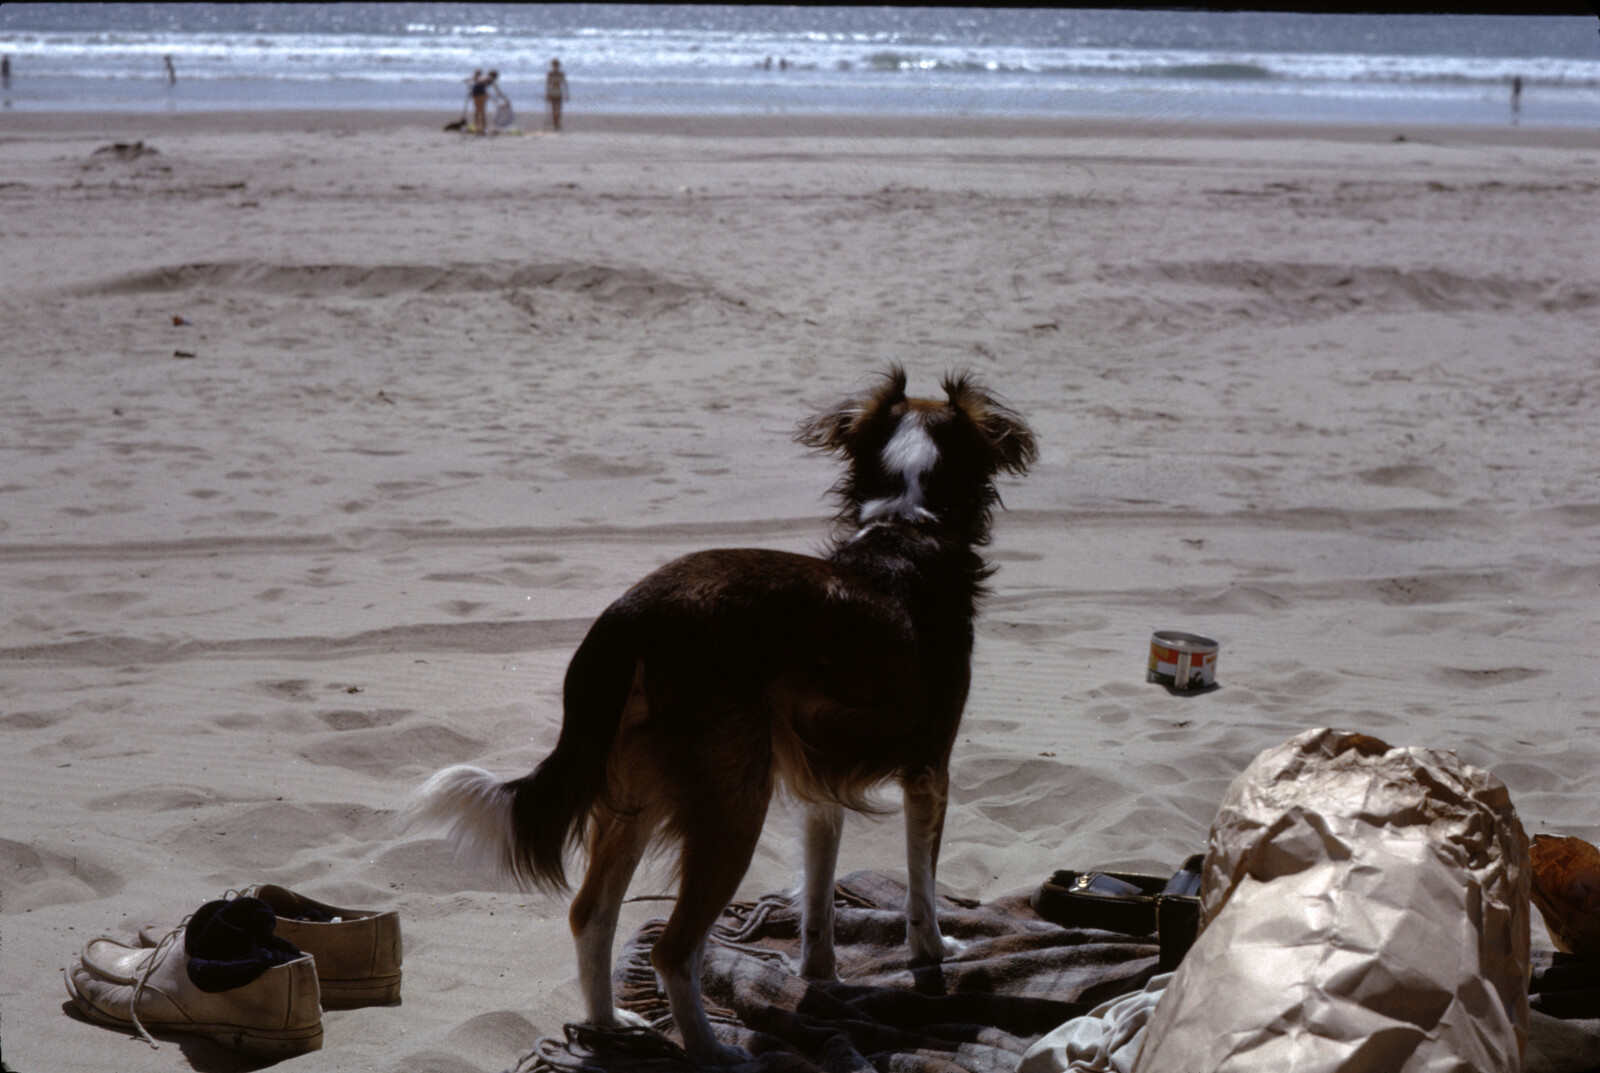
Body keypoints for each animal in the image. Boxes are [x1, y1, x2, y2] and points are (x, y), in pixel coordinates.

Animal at [409, 369, 1036, 1068]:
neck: (909, 521)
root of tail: (633, 615)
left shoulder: (820, 789)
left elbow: (818, 900)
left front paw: (822, 978)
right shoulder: (930, 770)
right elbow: (921, 889)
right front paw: (935, 954)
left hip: (634, 792)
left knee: (590, 914)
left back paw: (608, 1022)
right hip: (733, 801)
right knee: (672, 949)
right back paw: (712, 1050)